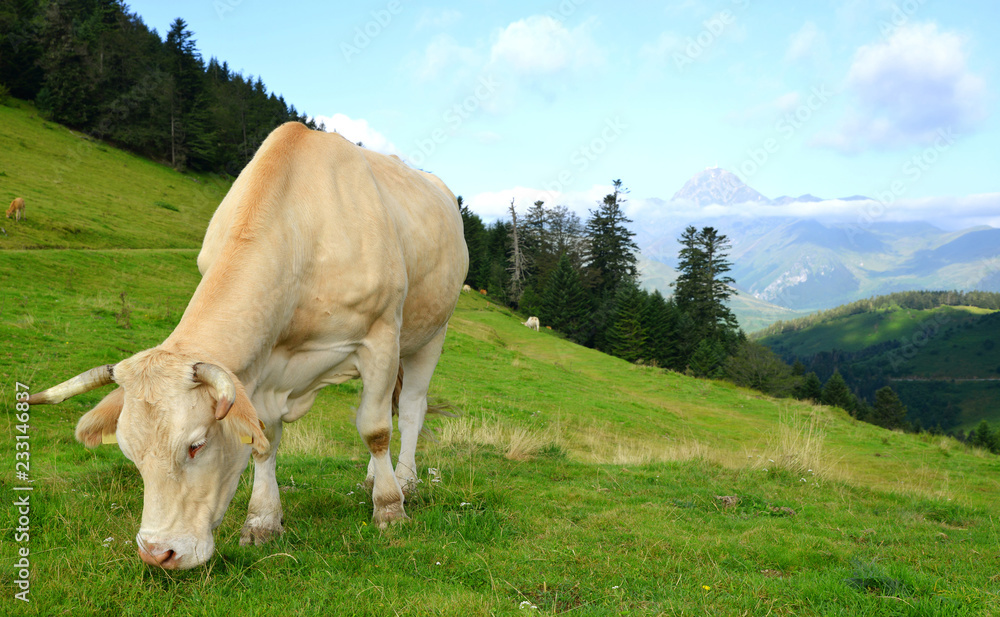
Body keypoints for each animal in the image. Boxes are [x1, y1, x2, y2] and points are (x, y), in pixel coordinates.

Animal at [28, 122, 468, 570]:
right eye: (129, 453)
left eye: (196, 445)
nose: (157, 553)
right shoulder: (259, 367)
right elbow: (263, 439)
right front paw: (262, 520)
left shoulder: (379, 337)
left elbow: (376, 429)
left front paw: (390, 508)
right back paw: (373, 476)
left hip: (430, 333)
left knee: (410, 409)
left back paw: (405, 480)